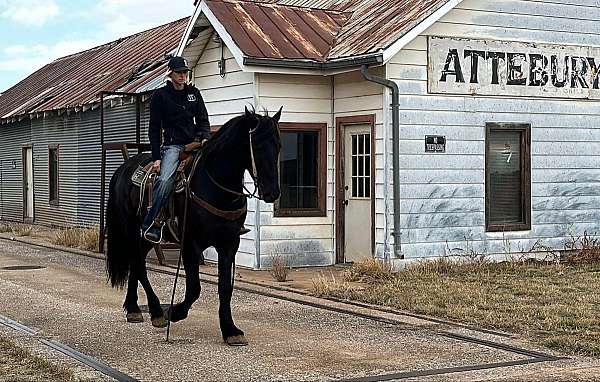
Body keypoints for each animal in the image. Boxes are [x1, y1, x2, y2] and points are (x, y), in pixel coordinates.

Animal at [105, 106, 282, 346]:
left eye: (278, 145)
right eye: (258, 145)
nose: (272, 192)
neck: (215, 185)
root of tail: (122, 169)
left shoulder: (229, 244)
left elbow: (225, 288)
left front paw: (230, 330)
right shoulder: (191, 244)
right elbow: (194, 289)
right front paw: (174, 312)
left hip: (145, 236)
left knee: (137, 261)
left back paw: (133, 308)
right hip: (132, 230)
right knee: (139, 264)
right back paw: (156, 311)